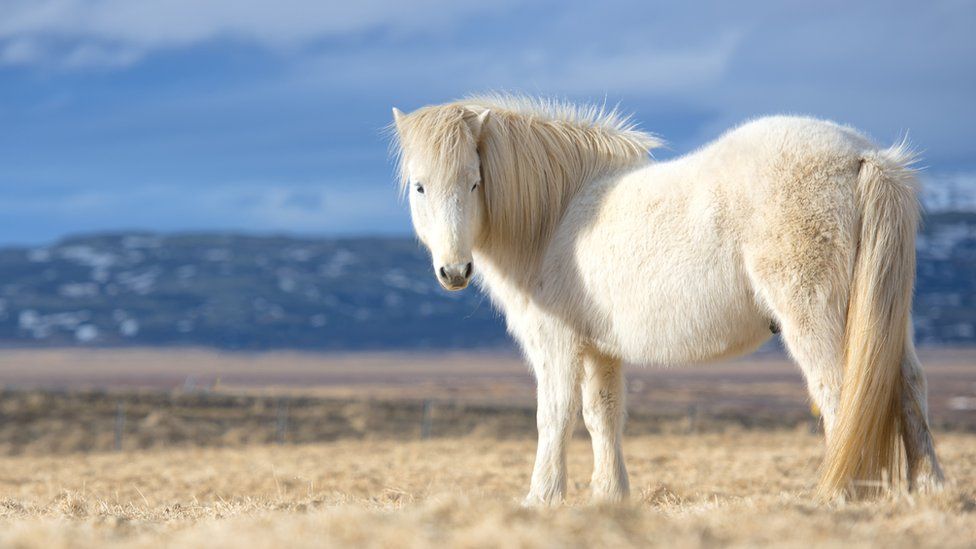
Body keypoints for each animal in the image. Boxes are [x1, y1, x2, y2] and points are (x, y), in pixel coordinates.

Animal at [390, 94, 944, 500]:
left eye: (474, 182)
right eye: (420, 187)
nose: (454, 271)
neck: (557, 214)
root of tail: (862, 157)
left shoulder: (555, 341)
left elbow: (555, 414)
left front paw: (542, 498)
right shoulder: (601, 349)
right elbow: (602, 415)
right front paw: (610, 496)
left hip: (812, 315)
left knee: (837, 391)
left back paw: (839, 494)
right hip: (887, 314)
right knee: (910, 387)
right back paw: (928, 488)